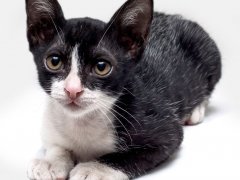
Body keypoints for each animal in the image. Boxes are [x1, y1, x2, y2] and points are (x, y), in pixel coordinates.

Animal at [25, 0, 220, 180]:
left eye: (101, 67)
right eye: (54, 61)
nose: (72, 90)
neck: (83, 121)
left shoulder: (165, 129)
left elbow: (127, 156)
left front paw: (93, 168)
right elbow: (56, 144)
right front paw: (50, 162)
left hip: (209, 53)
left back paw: (196, 110)